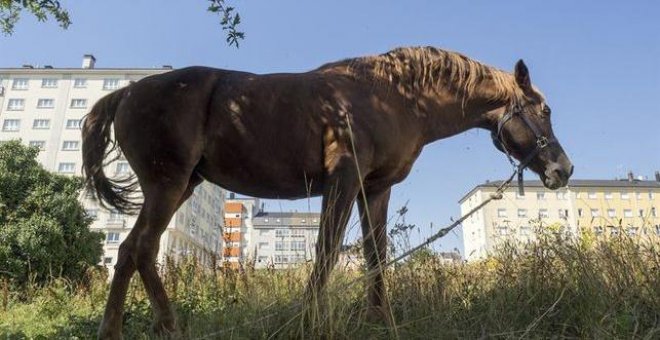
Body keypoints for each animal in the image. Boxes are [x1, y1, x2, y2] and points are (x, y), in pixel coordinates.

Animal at [82, 46, 572, 338]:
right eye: (544, 110)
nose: (563, 170)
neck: (396, 96)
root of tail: (126, 92)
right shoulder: (343, 181)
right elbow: (327, 253)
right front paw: (309, 320)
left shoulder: (374, 189)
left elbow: (375, 255)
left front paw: (380, 320)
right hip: (167, 185)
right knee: (142, 249)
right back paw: (160, 326)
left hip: (180, 187)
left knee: (130, 251)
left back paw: (125, 329)